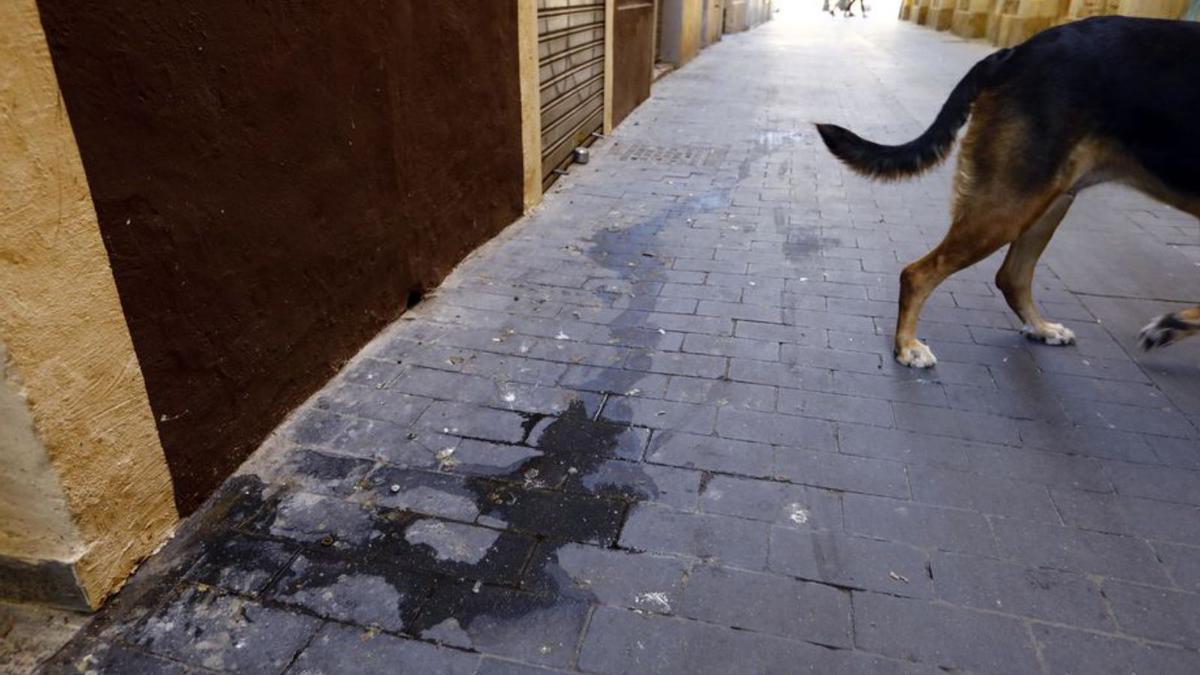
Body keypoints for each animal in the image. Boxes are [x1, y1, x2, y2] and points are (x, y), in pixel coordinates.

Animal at [816, 15, 1200, 365]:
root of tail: (1014, 53)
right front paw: (1172, 324)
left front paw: (1173, 325)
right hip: (1010, 204)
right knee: (918, 274)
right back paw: (907, 345)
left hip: (1047, 200)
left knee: (1011, 276)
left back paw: (1041, 328)